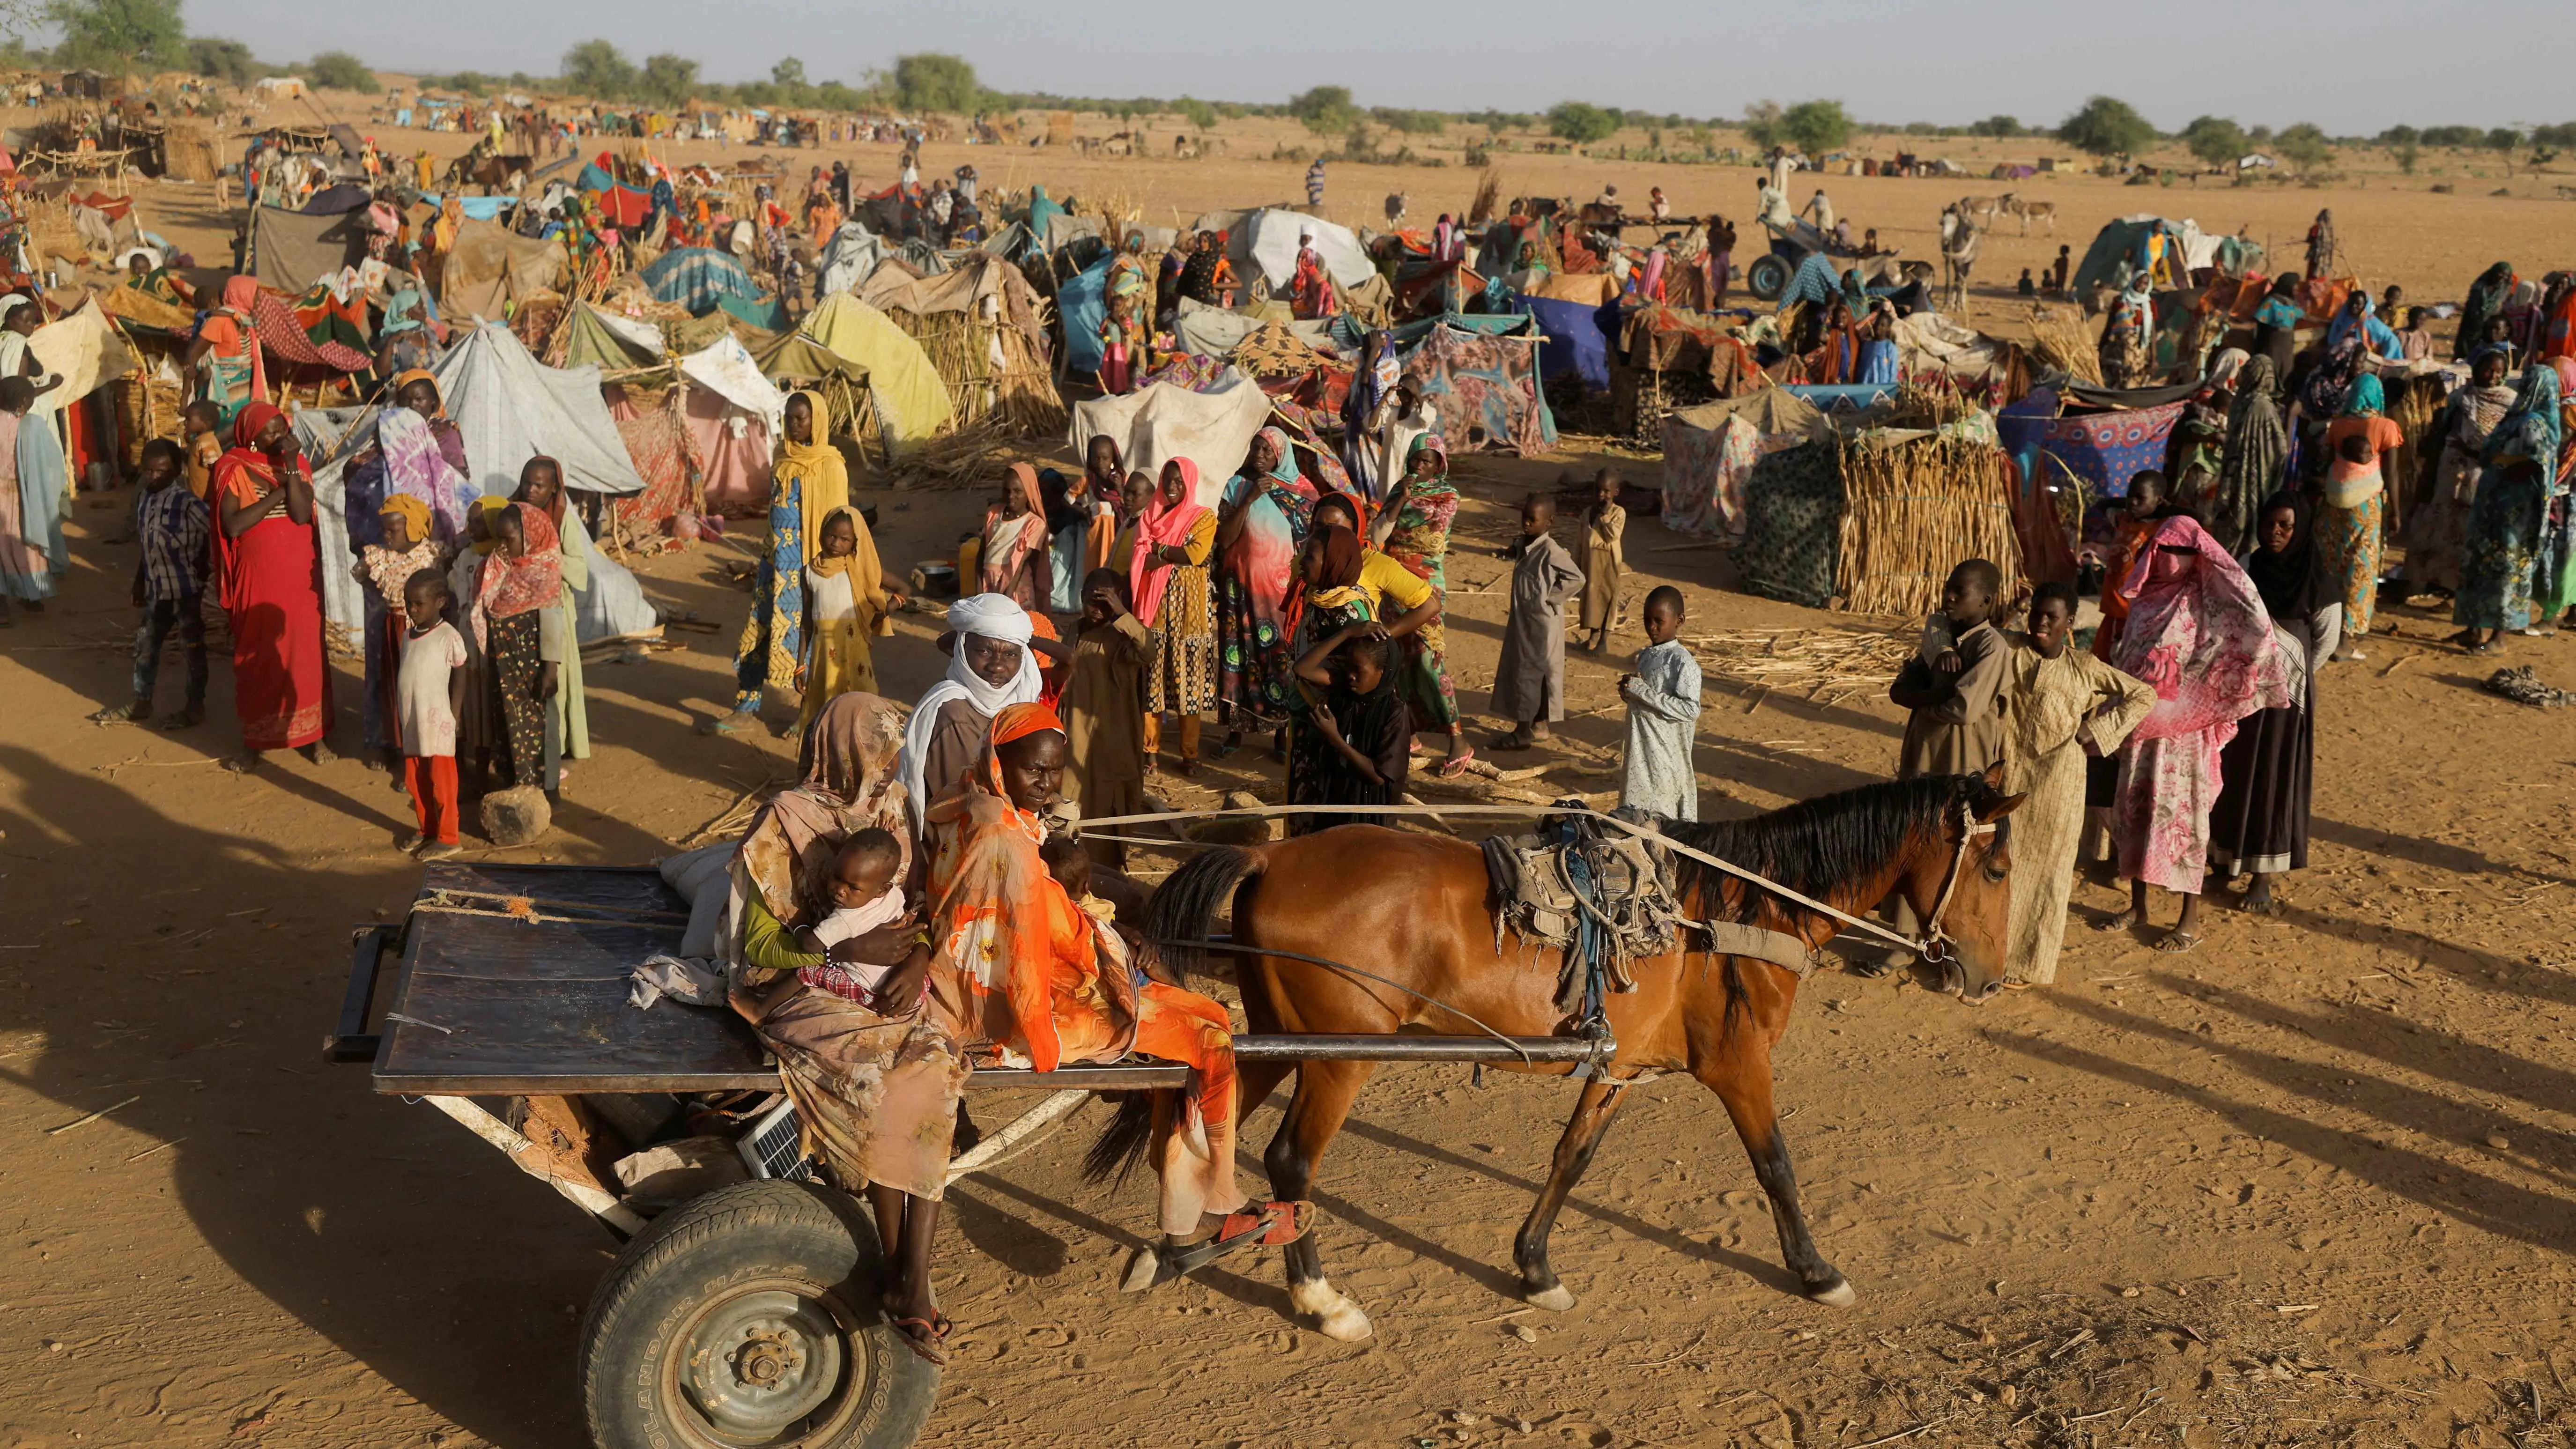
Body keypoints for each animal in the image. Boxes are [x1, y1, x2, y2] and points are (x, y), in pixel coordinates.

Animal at [1139, 767, 2020, 1348]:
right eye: (1999, 866)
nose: (1987, 977)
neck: (1744, 907)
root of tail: (1273, 857)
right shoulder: (1739, 1064)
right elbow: (1776, 1164)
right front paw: (1817, 1270)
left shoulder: (1620, 1069)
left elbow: (1572, 1158)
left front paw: (1534, 1266)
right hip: (1339, 1055)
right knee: (1291, 1159)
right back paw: (1322, 1300)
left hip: (1275, 1036)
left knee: (1202, 1116)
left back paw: (1176, 1246)